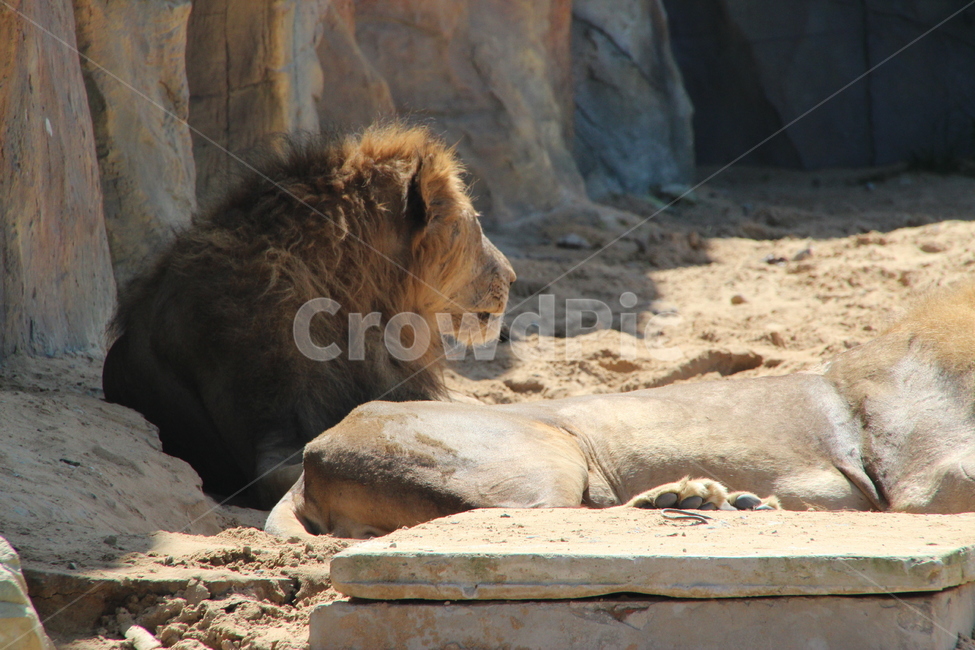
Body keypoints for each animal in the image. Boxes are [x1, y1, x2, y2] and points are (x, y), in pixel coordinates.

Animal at [266, 281, 975, 539]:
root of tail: (313, 455)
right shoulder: (924, 483)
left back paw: (725, 502)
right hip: (545, 452)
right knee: (543, 515)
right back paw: (693, 498)